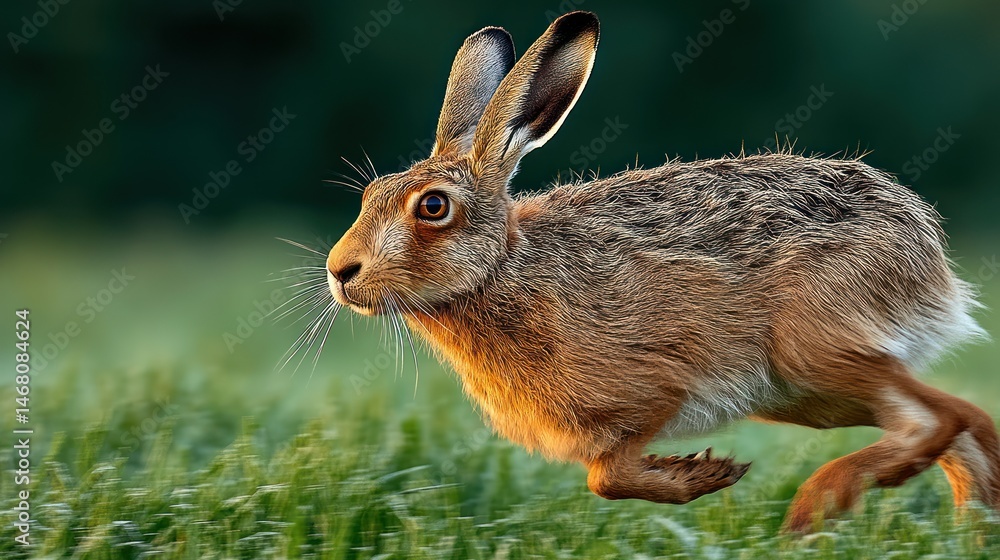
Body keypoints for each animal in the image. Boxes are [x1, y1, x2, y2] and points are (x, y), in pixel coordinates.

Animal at [325, 11, 997, 532]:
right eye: (373, 194)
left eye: (433, 207)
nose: (340, 271)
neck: (501, 268)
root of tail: (924, 248)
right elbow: (605, 478)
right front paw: (702, 475)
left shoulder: (654, 388)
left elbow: (606, 477)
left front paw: (701, 476)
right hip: (809, 395)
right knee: (956, 427)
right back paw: (967, 527)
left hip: (812, 349)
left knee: (940, 418)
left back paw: (816, 508)